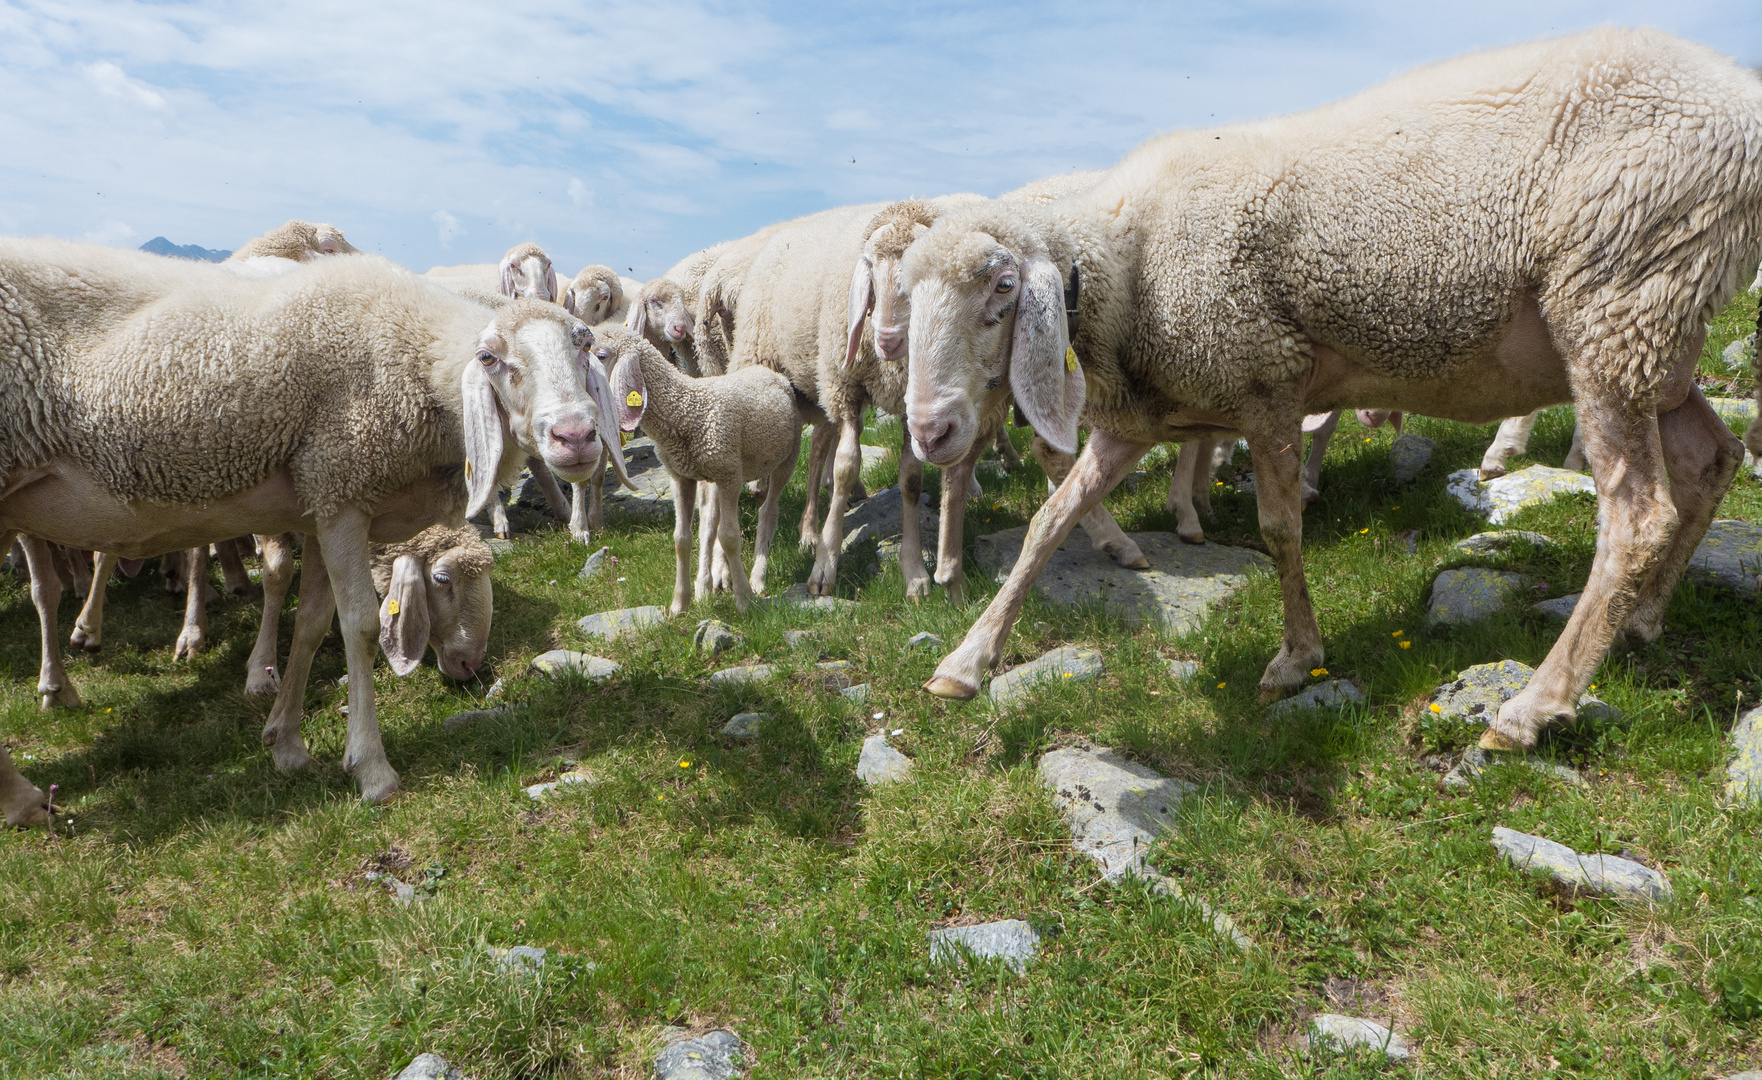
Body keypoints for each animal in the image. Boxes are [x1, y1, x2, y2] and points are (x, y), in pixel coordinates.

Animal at [0, 241, 630, 799]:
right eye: (490, 359)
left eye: (584, 346)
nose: (575, 435)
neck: (414, 362)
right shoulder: (344, 488)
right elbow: (360, 626)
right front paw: (371, 768)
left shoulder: (321, 503)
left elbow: (309, 623)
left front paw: (285, 742)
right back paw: (28, 787)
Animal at [599, 324, 806, 609]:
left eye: (600, 355)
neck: (686, 408)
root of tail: (770, 373)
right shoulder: (681, 476)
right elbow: (681, 539)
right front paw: (679, 604)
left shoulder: (730, 475)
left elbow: (729, 537)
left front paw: (744, 599)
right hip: (713, 475)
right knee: (709, 524)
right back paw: (706, 585)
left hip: (787, 457)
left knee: (769, 511)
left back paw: (757, 578)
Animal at [909, 29, 1762, 754]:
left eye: (1002, 290)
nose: (929, 433)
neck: (1128, 266)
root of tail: (1737, 92)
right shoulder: (1140, 419)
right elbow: (1048, 524)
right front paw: (966, 661)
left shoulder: (1267, 378)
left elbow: (1280, 529)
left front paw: (1295, 658)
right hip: (1656, 328)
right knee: (1712, 459)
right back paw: (1643, 620)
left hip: (1619, 294)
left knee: (1638, 517)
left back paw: (1534, 706)